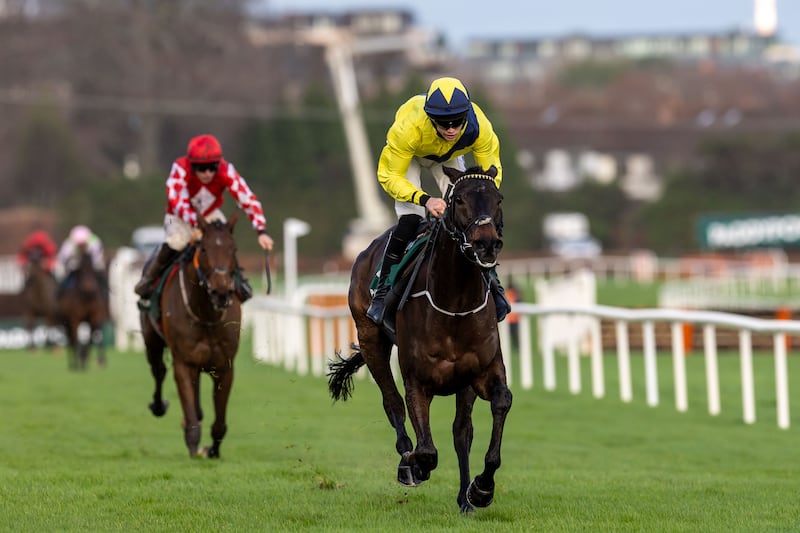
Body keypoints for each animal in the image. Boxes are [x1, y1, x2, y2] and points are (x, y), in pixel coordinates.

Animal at [139, 212, 242, 458]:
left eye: (233, 249)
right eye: (203, 249)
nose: (221, 291)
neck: (207, 315)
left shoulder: (225, 367)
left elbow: (220, 423)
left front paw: (212, 450)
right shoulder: (184, 363)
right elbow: (191, 413)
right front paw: (195, 446)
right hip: (151, 339)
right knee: (159, 370)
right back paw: (159, 406)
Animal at [330, 165, 512, 512]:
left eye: (498, 199)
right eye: (460, 200)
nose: (487, 244)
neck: (454, 304)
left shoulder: (481, 371)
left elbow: (498, 404)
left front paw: (481, 489)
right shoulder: (417, 380)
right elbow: (426, 449)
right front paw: (413, 465)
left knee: (461, 431)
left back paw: (465, 497)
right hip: (371, 339)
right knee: (392, 404)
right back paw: (407, 459)